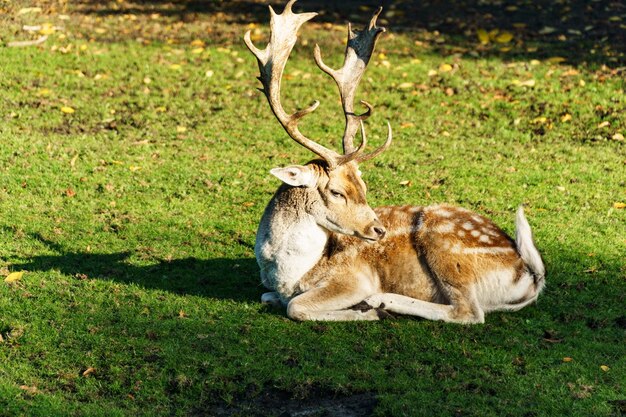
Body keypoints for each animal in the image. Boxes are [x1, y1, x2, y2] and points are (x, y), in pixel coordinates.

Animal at [244, 1, 540, 324]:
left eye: (363, 187)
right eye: (337, 192)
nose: (378, 230)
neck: (285, 275)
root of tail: (529, 276)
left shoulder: (354, 277)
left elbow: (295, 306)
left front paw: (365, 310)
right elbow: (268, 297)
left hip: (445, 246)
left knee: (468, 312)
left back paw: (381, 302)